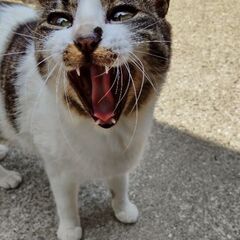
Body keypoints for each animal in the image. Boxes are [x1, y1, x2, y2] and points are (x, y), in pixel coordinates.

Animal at [0, 0, 171, 239]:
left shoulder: (121, 158)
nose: (85, 38)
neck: (105, 133)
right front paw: (70, 229)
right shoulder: (59, 168)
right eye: (60, 20)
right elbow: (66, 203)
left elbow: (120, 183)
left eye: (122, 14)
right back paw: (6, 177)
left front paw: (122, 208)